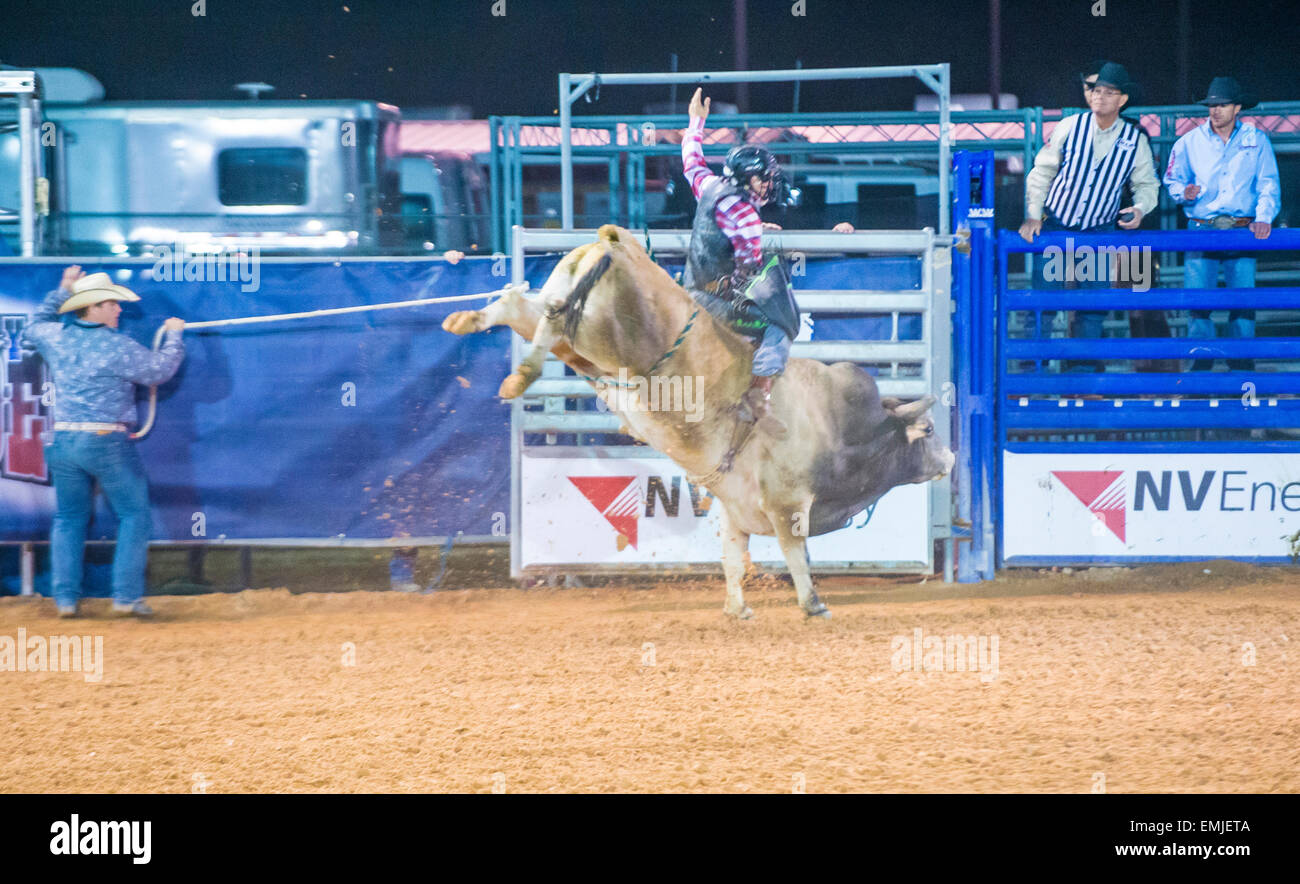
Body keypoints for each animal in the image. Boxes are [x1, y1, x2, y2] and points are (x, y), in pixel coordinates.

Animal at [444, 225, 953, 619]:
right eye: (928, 431)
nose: (950, 457)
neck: (844, 429)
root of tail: (615, 244)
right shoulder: (788, 505)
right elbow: (796, 555)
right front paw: (814, 606)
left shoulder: (734, 509)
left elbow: (732, 559)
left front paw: (737, 609)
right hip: (599, 333)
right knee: (548, 321)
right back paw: (521, 375)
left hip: (572, 325)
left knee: (521, 308)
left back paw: (470, 323)